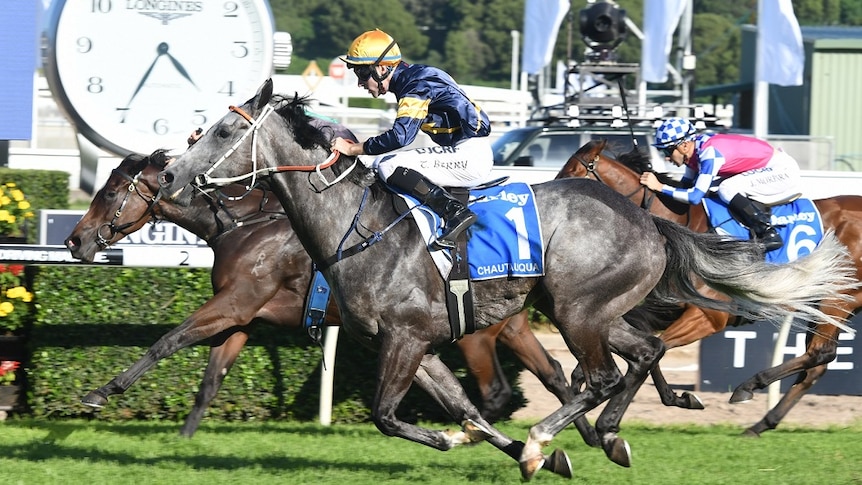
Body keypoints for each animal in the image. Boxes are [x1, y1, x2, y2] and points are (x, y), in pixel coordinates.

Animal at [66, 150, 580, 434]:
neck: (244, 223)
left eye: (109, 193)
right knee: (553, 373)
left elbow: (167, 341)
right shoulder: (242, 318)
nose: (74, 241)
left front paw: (102, 392)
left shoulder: (234, 303)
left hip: (471, 335)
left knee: (495, 392)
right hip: (508, 326)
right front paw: (185, 439)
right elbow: (211, 380)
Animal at [560, 138, 862, 436]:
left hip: (838, 298)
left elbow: (659, 348)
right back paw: (761, 424)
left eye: (574, 171)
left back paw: (748, 387)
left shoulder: (707, 317)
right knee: (816, 365)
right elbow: (636, 346)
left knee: (820, 353)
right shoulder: (664, 309)